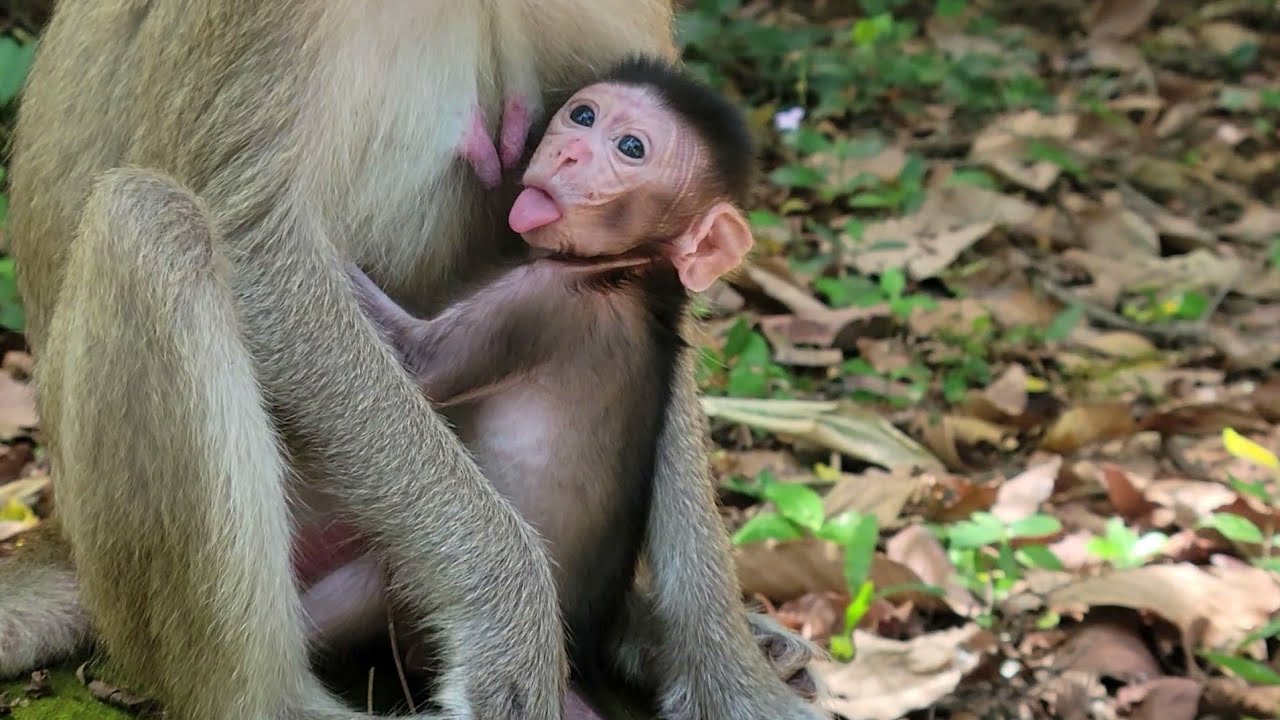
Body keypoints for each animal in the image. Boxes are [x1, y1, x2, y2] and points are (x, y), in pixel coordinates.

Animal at [0, 3, 824, 719]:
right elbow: (253, 239)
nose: (565, 152)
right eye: (583, 120)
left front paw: (730, 679)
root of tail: (68, 535)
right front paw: (510, 615)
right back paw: (279, 705)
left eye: (631, 146)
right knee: (154, 220)